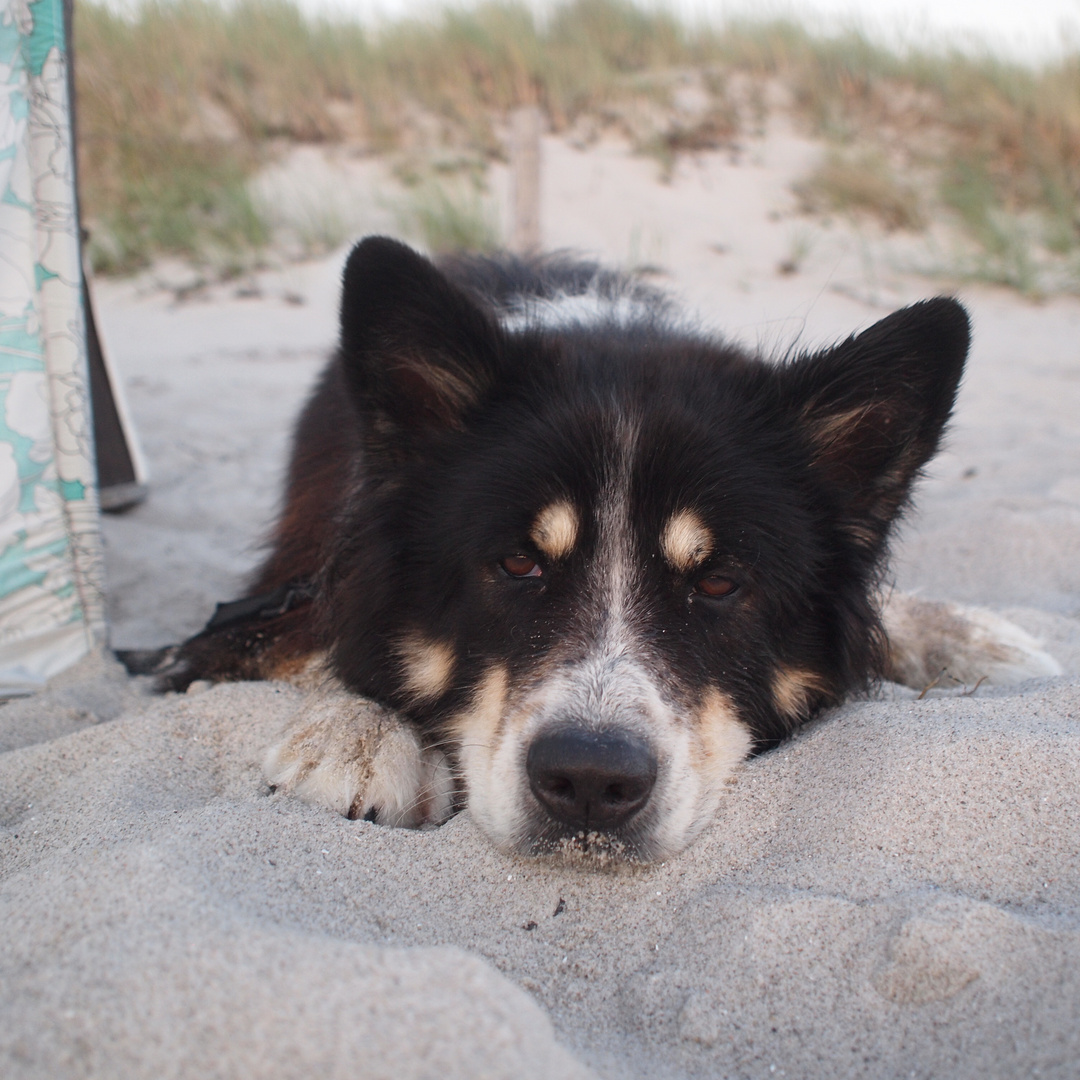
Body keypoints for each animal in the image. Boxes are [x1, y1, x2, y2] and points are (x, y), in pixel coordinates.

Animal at [139, 236, 1058, 859]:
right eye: (517, 562)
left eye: (719, 582)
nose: (589, 782)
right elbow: (306, 631)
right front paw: (357, 731)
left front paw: (966, 636)